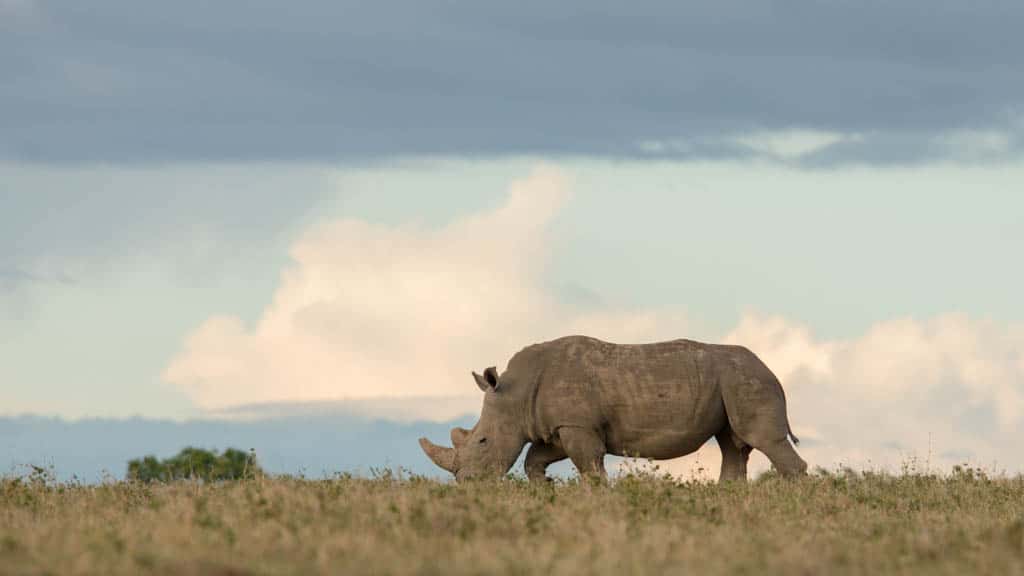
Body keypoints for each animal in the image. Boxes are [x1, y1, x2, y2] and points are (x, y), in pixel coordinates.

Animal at [417, 334, 806, 481]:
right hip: (733, 382)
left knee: (764, 441)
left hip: (748, 380)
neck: (515, 394)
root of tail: (770, 369)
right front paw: (546, 489)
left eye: (482, 441)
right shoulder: (563, 426)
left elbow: (590, 468)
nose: (466, 483)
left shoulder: (578, 427)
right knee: (733, 446)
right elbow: (534, 460)